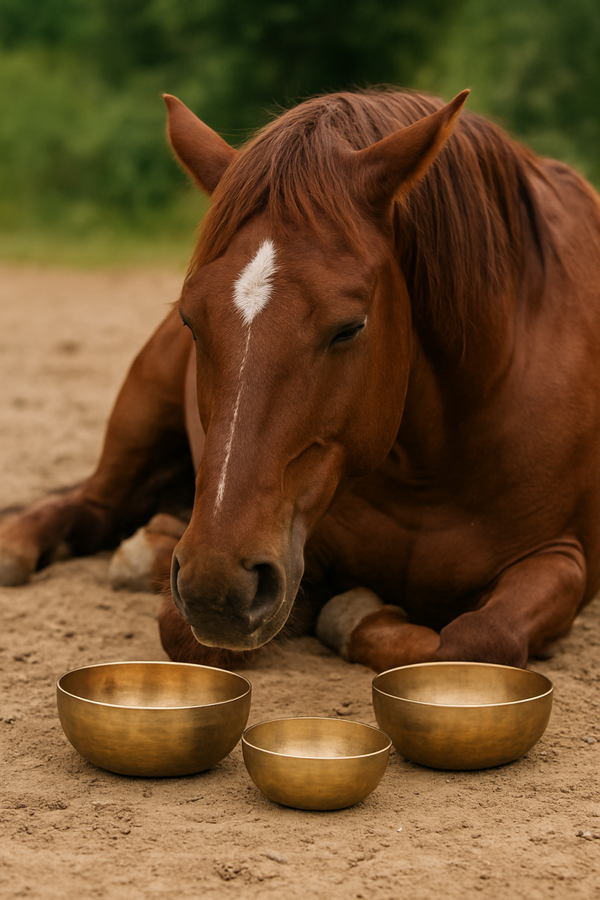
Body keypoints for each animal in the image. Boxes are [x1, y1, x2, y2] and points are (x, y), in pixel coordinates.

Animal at [2, 87, 600, 674]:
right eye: (190, 320)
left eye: (350, 327)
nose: (214, 584)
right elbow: (185, 635)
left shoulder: (561, 559)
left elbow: (476, 642)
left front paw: (357, 615)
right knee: (90, 504)